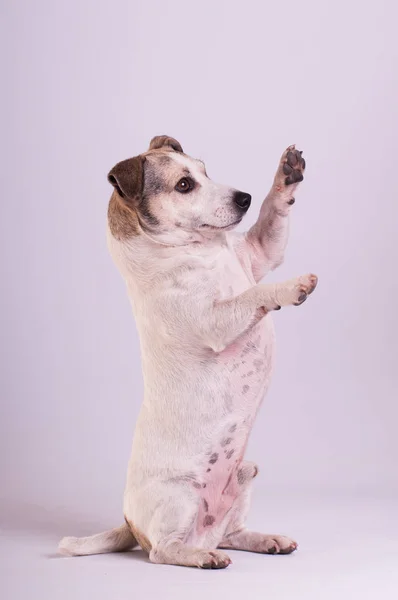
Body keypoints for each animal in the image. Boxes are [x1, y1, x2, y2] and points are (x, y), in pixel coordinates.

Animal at [58, 135, 318, 568]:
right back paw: (201, 557)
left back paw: (264, 540)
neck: (198, 250)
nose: (244, 198)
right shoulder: (216, 321)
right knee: (162, 552)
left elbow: (272, 218)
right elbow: (254, 295)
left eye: (205, 171)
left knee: (232, 534)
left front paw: (286, 175)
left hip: (246, 472)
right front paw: (290, 287)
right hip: (180, 498)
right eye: (184, 185)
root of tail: (131, 524)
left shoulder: (258, 254)